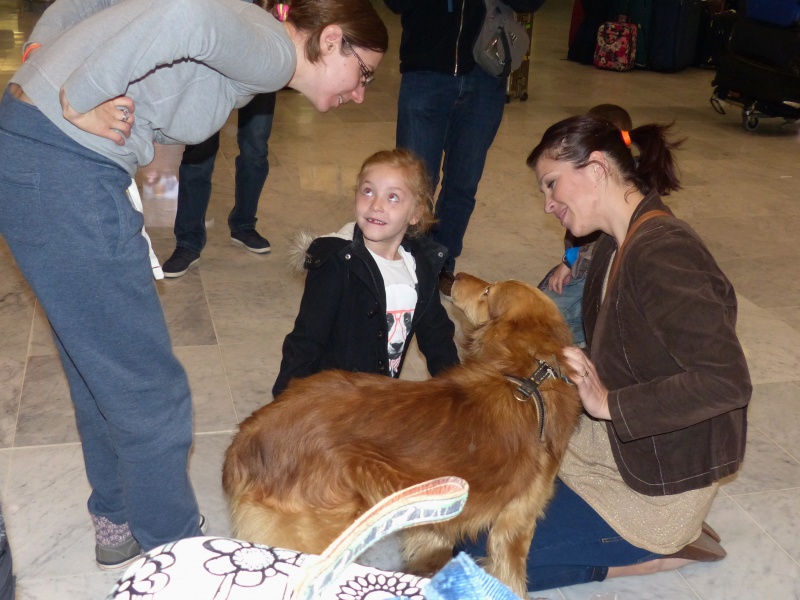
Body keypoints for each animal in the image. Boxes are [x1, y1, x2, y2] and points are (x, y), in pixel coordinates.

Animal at [223, 274, 580, 596]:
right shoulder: (515, 526)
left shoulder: (441, 521)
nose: (450, 276)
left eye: (488, 291)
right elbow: (512, 580)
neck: (531, 374)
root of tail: (252, 433)